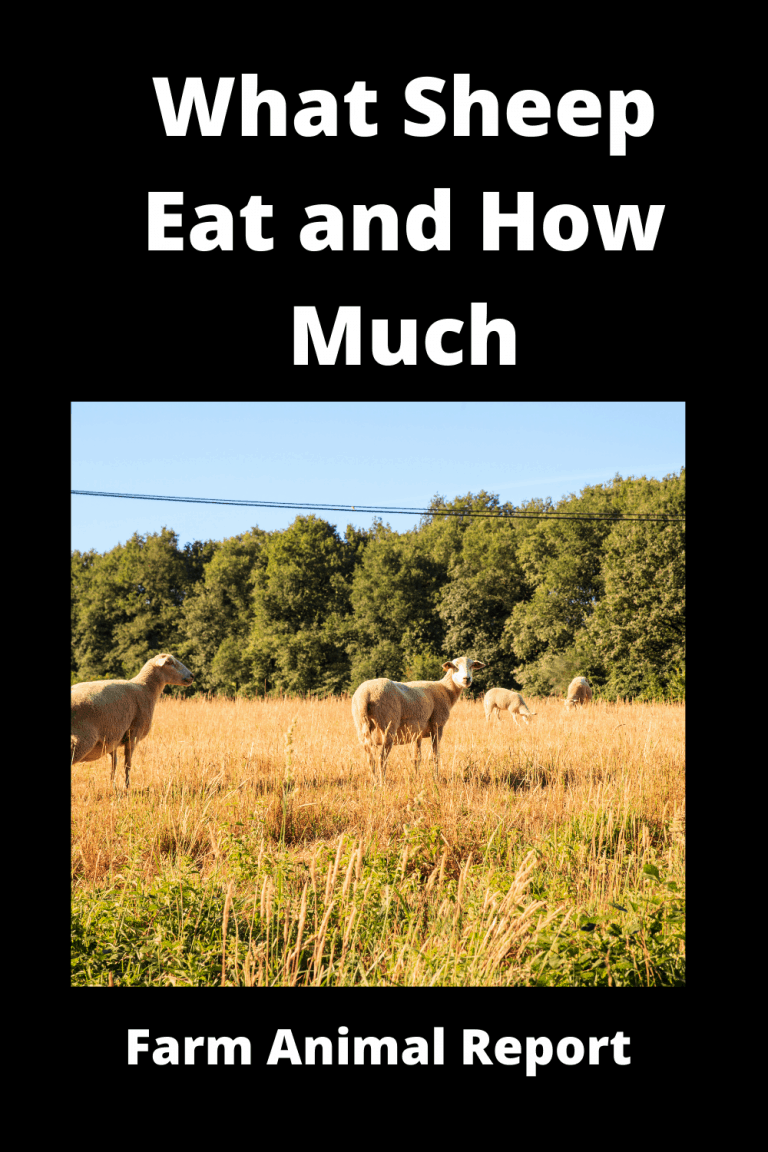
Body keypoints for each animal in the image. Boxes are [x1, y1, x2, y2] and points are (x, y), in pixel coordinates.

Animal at [71, 653, 194, 788]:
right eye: (170, 662)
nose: (192, 676)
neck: (145, 688)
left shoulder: (113, 738)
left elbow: (113, 764)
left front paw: (112, 786)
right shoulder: (134, 734)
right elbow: (127, 765)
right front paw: (127, 787)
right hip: (82, 739)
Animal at [351, 656, 486, 781]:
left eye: (472, 666)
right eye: (455, 666)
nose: (467, 679)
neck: (446, 690)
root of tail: (366, 695)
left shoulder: (417, 732)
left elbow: (417, 758)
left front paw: (417, 777)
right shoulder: (437, 725)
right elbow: (435, 755)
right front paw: (436, 777)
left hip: (361, 726)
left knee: (370, 758)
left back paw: (374, 781)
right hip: (388, 726)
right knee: (381, 758)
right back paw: (382, 783)